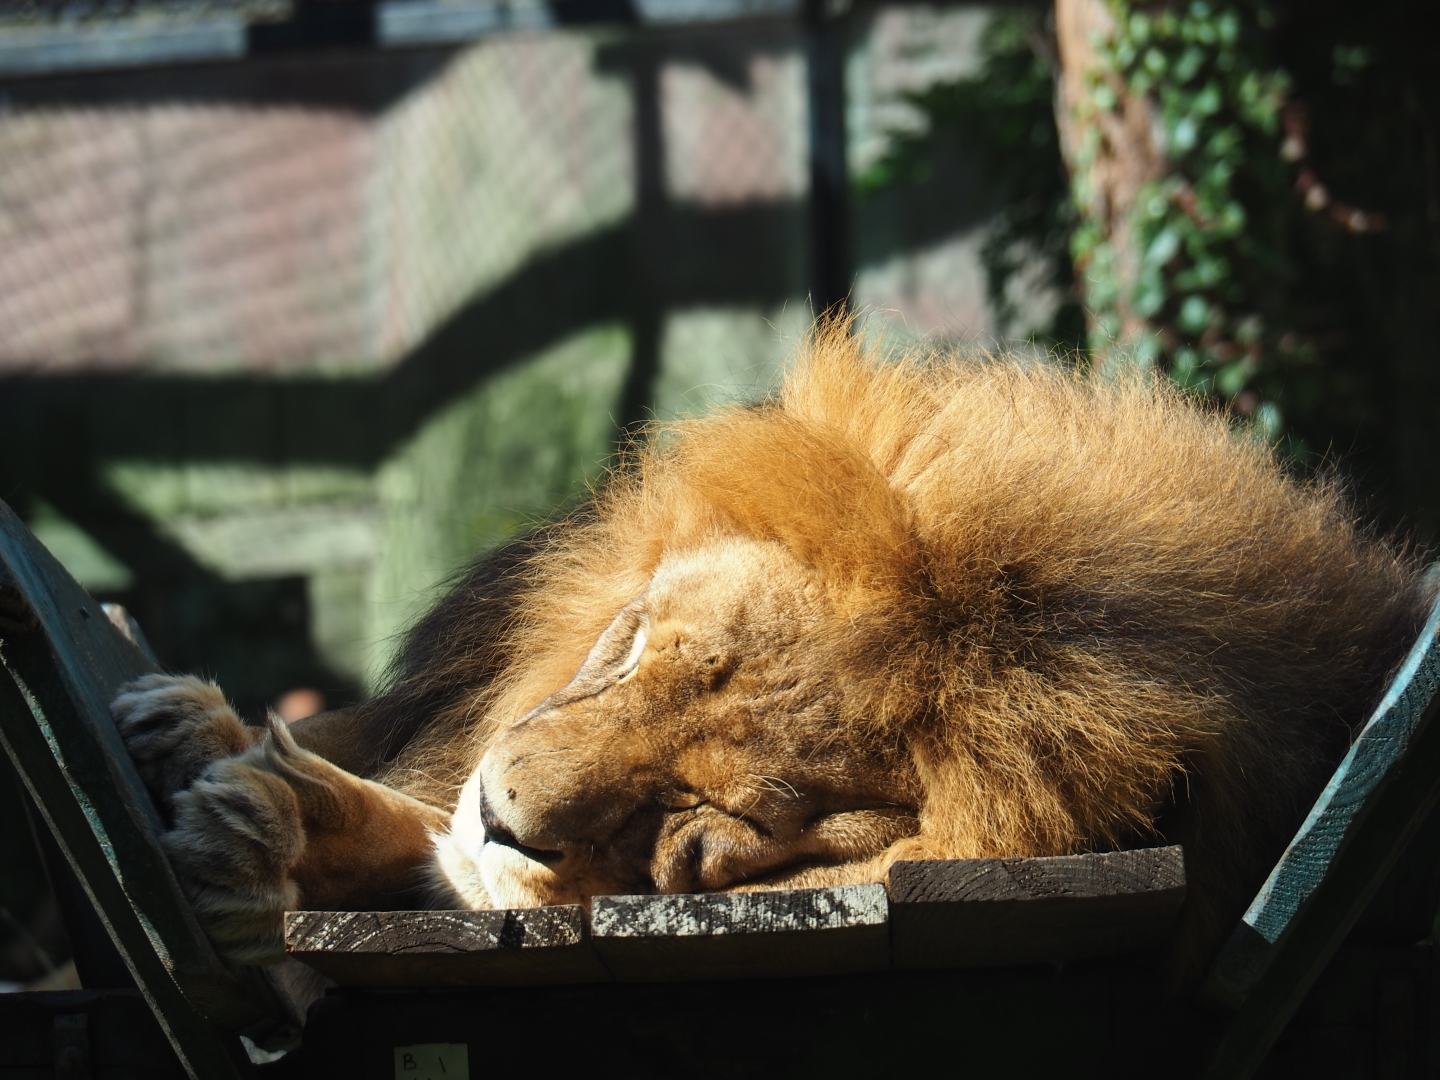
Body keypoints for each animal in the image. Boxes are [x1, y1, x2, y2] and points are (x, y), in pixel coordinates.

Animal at [112, 324, 1433, 983]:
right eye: (641, 652)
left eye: (704, 827)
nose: (504, 815)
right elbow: (415, 799)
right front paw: (219, 757)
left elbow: (447, 863)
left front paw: (258, 838)